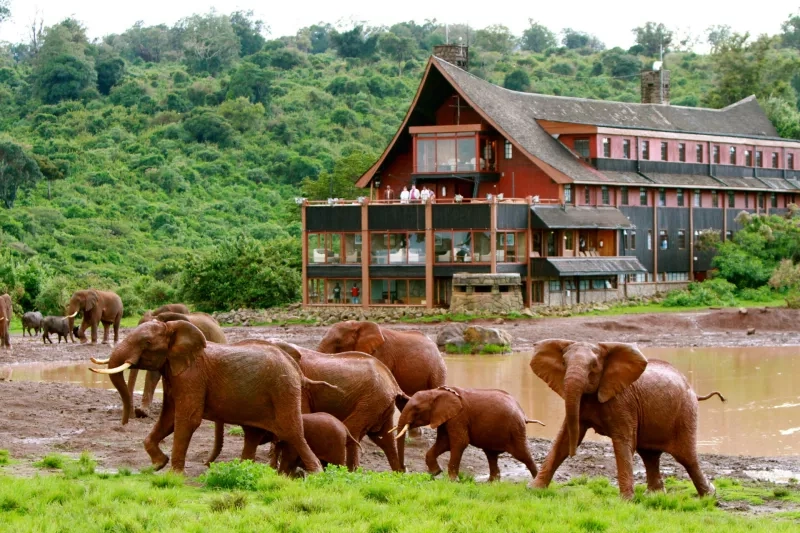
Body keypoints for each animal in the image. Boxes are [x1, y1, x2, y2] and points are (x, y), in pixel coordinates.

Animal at [88, 318, 324, 472]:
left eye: (146, 343)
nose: (125, 423)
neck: (173, 329)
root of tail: (294, 365)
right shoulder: (174, 373)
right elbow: (169, 418)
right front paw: (158, 464)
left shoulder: (192, 376)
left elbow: (186, 419)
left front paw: (174, 475)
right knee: (253, 434)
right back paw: (243, 469)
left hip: (283, 390)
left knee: (292, 432)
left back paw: (316, 473)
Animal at [206, 338, 410, 472]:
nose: (206, 464)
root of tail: (394, 384)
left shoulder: (300, 388)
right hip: (381, 402)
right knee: (385, 439)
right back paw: (397, 475)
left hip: (372, 399)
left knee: (354, 430)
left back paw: (350, 473)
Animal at [396, 386, 544, 482]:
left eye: (417, 409)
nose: (404, 470)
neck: (436, 392)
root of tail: (523, 413)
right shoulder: (446, 418)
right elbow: (444, 443)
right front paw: (436, 472)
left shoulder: (458, 417)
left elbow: (459, 443)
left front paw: (453, 481)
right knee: (491, 455)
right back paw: (491, 483)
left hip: (515, 429)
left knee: (522, 454)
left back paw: (536, 482)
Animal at [532, 338, 724, 496]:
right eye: (564, 363)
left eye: (594, 365)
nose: (574, 454)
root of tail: (693, 390)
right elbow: (563, 439)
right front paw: (534, 490)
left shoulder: (623, 402)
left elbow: (623, 441)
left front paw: (625, 501)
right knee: (649, 455)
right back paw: (654, 496)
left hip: (685, 412)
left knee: (687, 457)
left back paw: (709, 495)